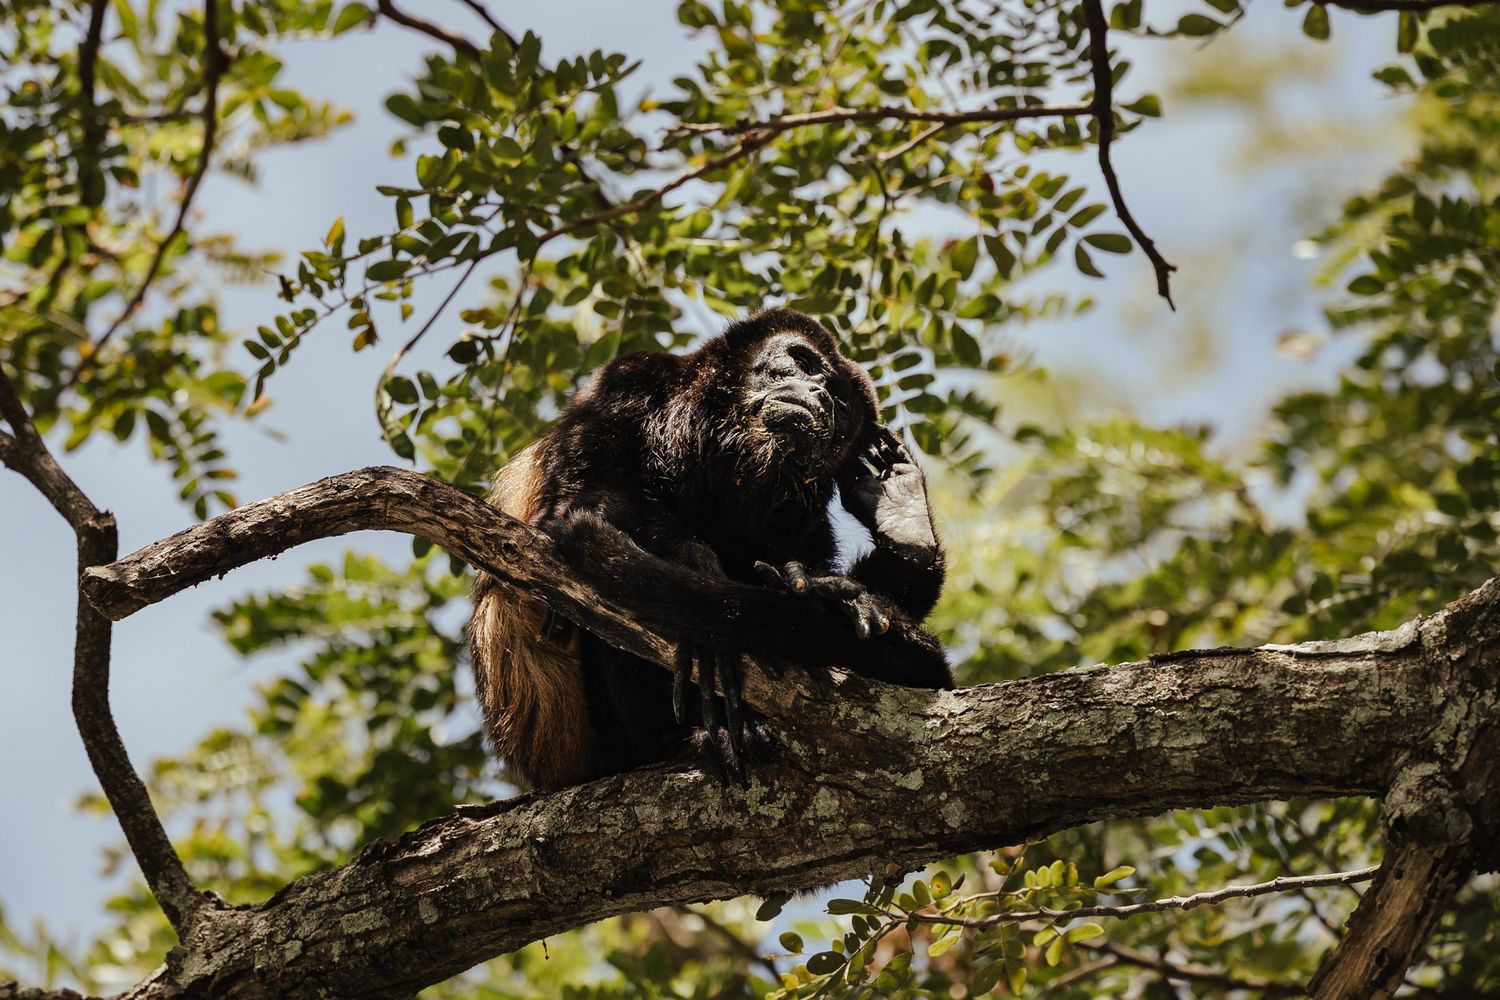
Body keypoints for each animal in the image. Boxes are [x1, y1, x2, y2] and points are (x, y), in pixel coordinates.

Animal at [467, 308, 950, 790]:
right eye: (802, 362)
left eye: (843, 405)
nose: (822, 396)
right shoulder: (624, 381)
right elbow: (587, 489)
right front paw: (696, 566)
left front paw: (826, 583)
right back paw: (683, 740)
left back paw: (904, 527)